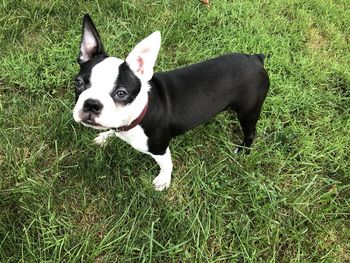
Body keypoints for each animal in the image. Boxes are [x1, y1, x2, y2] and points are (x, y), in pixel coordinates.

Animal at [72, 14, 270, 192]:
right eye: (79, 83)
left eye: (121, 93)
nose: (91, 104)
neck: (136, 114)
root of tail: (255, 59)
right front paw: (106, 136)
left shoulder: (160, 147)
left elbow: (166, 164)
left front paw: (163, 180)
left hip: (248, 111)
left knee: (251, 131)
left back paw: (242, 150)